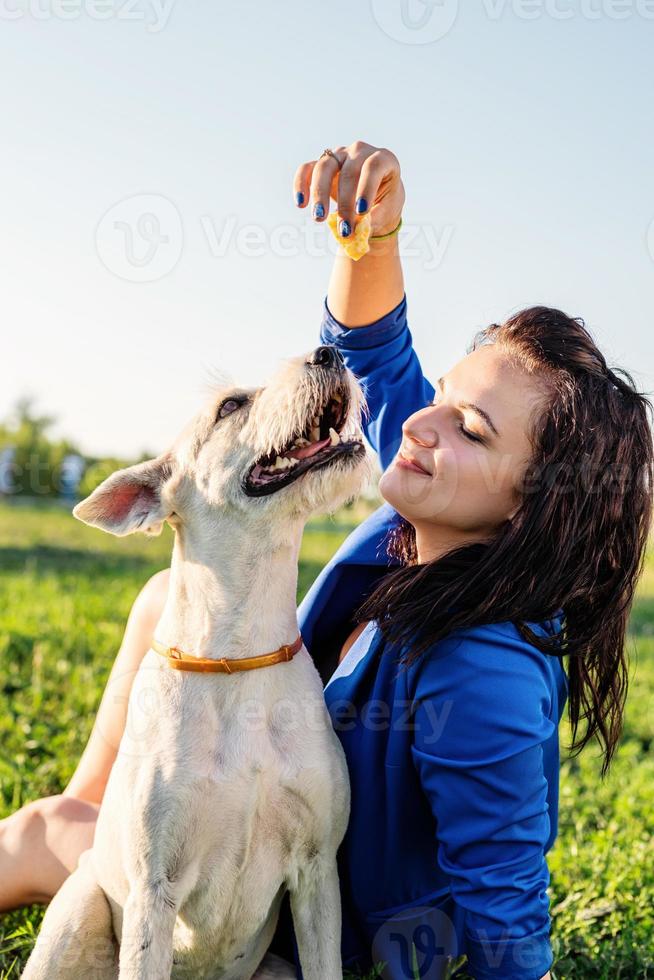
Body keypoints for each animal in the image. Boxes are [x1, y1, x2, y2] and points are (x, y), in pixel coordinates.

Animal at [21, 346, 374, 980]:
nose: (329, 351)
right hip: (77, 912)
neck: (238, 652)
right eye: (230, 406)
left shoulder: (317, 871)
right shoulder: (153, 891)